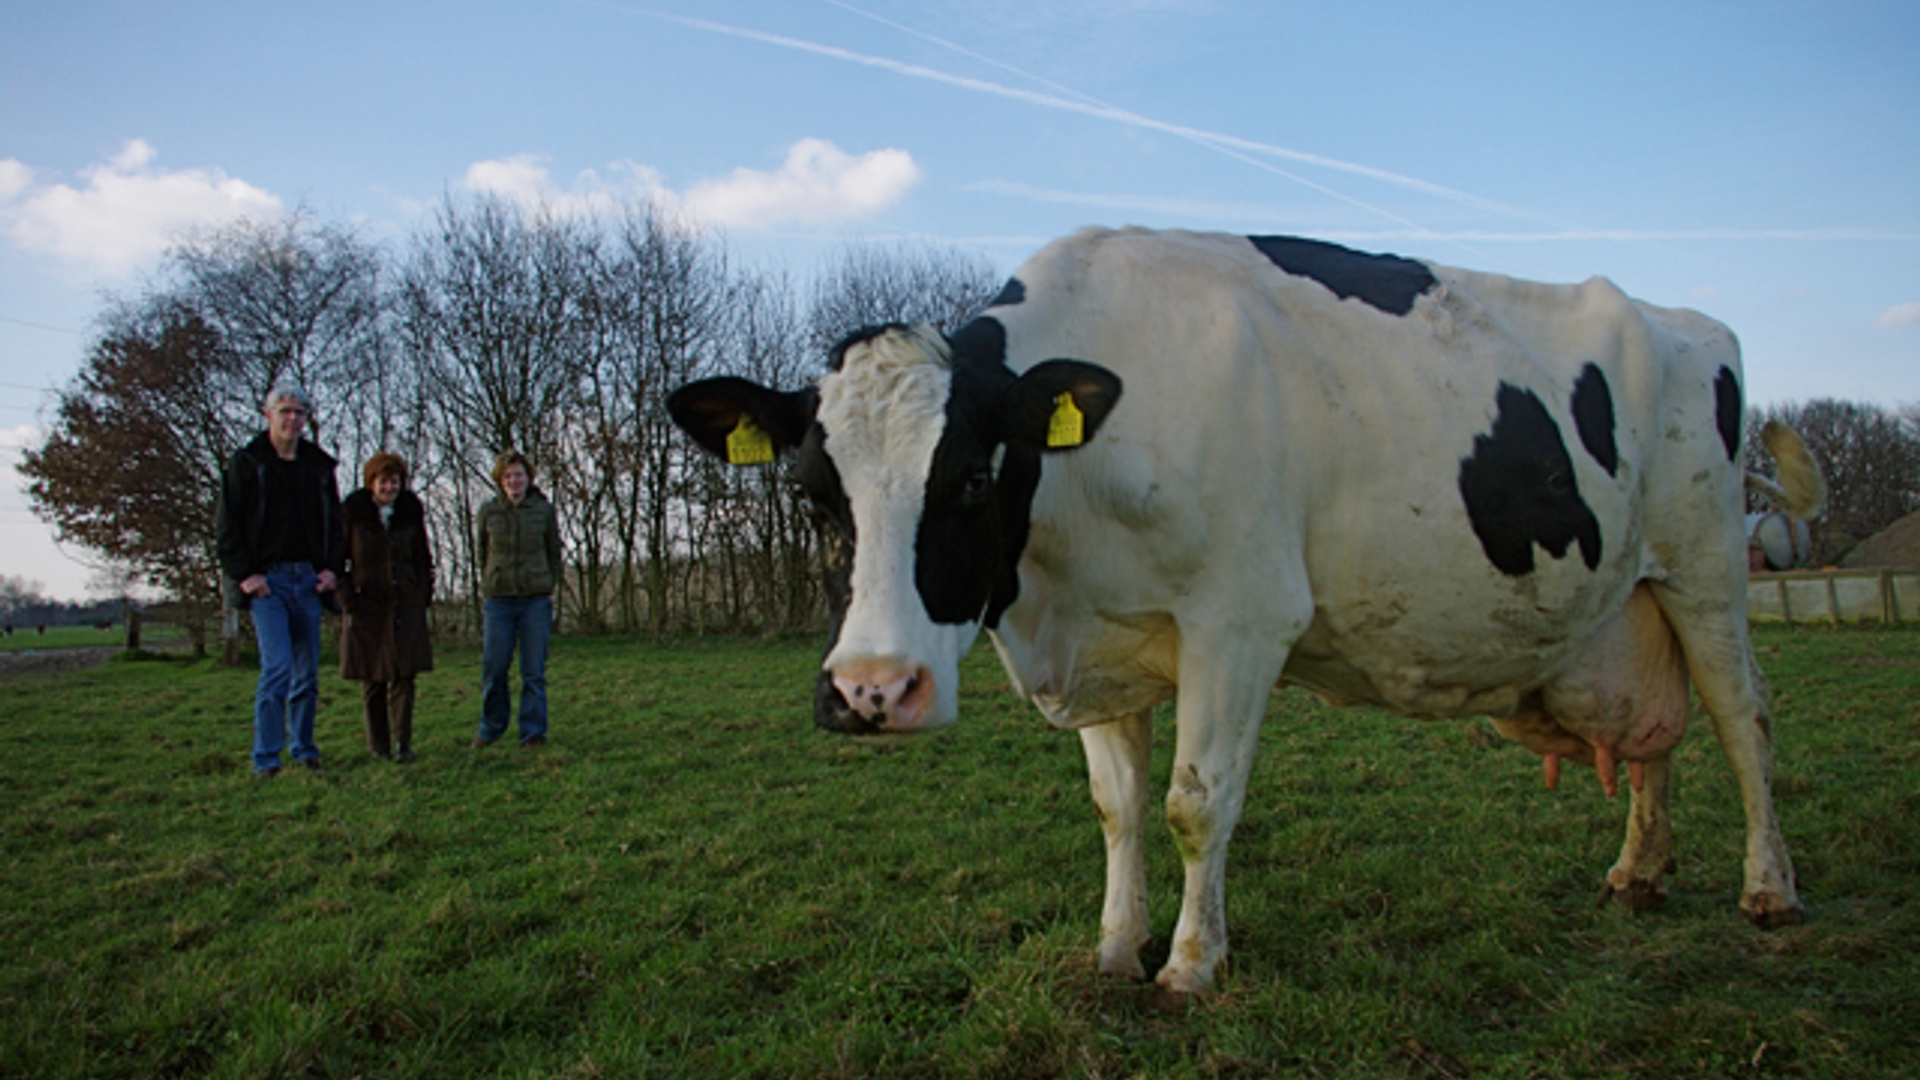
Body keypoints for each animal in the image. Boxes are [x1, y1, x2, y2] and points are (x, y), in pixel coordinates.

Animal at [672, 226, 1827, 991]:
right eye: (814, 494)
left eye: (967, 478)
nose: (872, 692)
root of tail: (1687, 320)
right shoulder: (1104, 643)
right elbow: (1118, 809)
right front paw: (1114, 950)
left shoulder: (1240, 617)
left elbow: (1196, 802)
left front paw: (1190, 965)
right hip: (1628, 605)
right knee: (1655, 733)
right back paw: (1639, 869)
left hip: (1706, 568)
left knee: (1746, 718)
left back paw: (1769, 889)